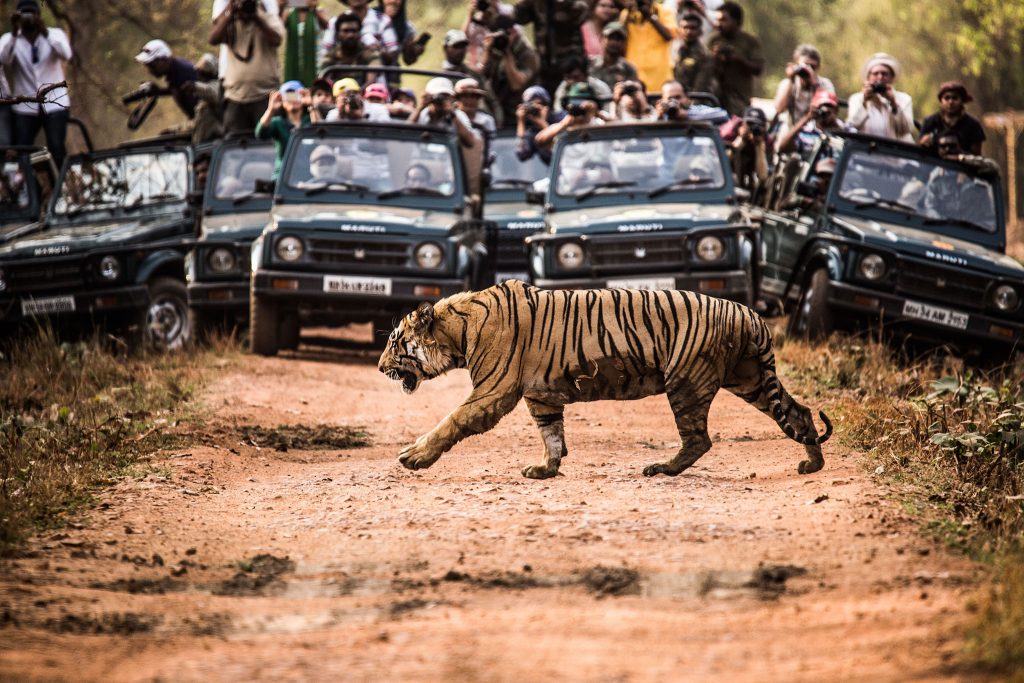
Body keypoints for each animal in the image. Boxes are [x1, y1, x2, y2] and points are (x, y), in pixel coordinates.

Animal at [376, 282, 831, 481]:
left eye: (395, 342)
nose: (380, 368)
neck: (457, 330)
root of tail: (752, 315)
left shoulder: (492, 391)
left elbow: (449, 422)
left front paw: (413, 456)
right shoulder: (540, 396)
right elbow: (552, 433)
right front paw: (545, 468)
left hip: (687, 382)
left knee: (699, 439)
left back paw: (662, 469)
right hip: (750, 378)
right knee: (800, 412)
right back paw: (811, 464)